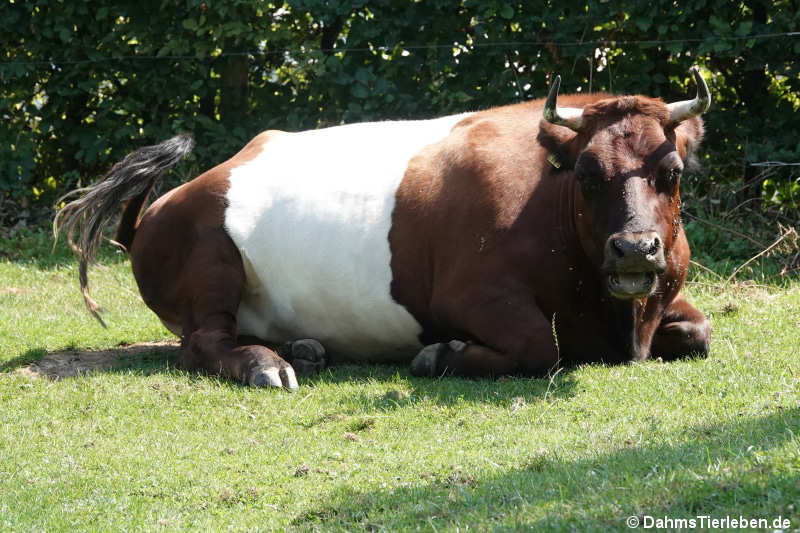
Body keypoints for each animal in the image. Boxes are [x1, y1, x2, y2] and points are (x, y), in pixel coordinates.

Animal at [56, 68, 712, 388]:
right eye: (587, 174)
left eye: (672, 171)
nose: (634, 249)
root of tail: (157, 211)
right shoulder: (471, 293)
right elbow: (538, 347)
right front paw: (438, 356)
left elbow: (700, 332)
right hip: (212, 265)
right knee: (201, 344)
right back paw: (267, 365)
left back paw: (304, 348)